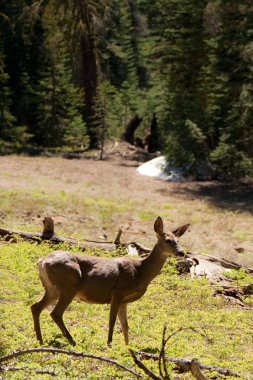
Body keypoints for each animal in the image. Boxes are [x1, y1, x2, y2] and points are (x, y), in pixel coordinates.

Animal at [31, 217, 189, 344]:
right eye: (168, 240)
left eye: (178, 240)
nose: (182, 252)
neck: (141, 272)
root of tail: (42, 261)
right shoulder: (117, 292)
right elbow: (112, 320)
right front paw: (109, 343)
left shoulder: (124, 300)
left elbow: (125, 324)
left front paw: (128, 347)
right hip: (69, 286)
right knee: (56, 313)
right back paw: (71, 340)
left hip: (53, 289)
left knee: (36, 307)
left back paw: (40, 340)